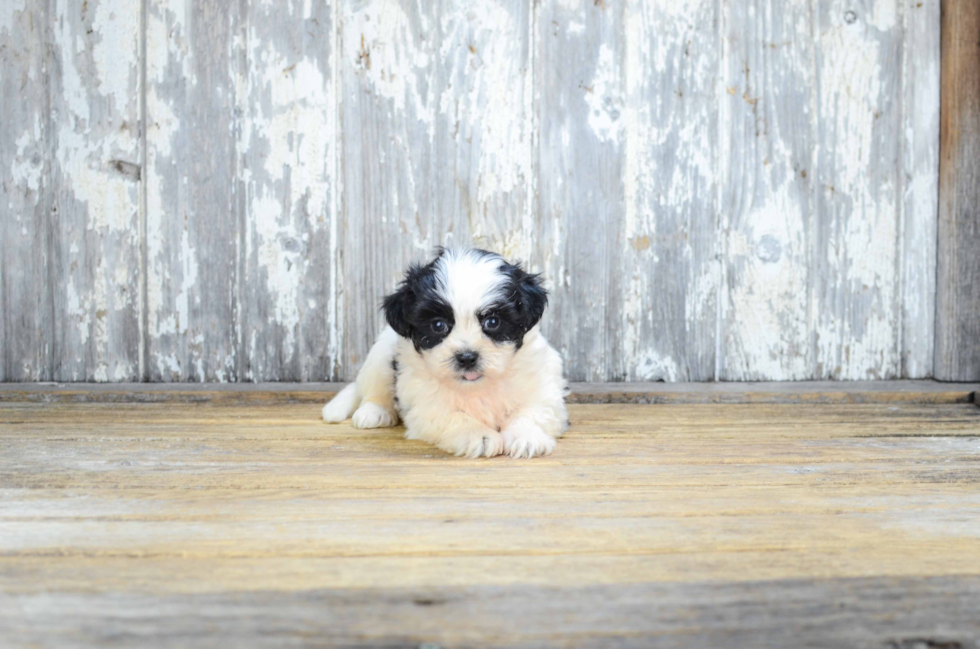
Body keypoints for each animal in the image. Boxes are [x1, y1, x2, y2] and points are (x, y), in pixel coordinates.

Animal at [322, 247, 568, 456]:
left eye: (493, 322)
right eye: (438, 325)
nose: (467, 358)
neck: (475, 387)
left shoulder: (542, 385)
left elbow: (534, 409)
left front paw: (525, 437)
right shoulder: (424, 403)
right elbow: (453, 416)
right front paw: (479, 436)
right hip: (381, 354)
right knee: (373, 389)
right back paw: (374, 411)